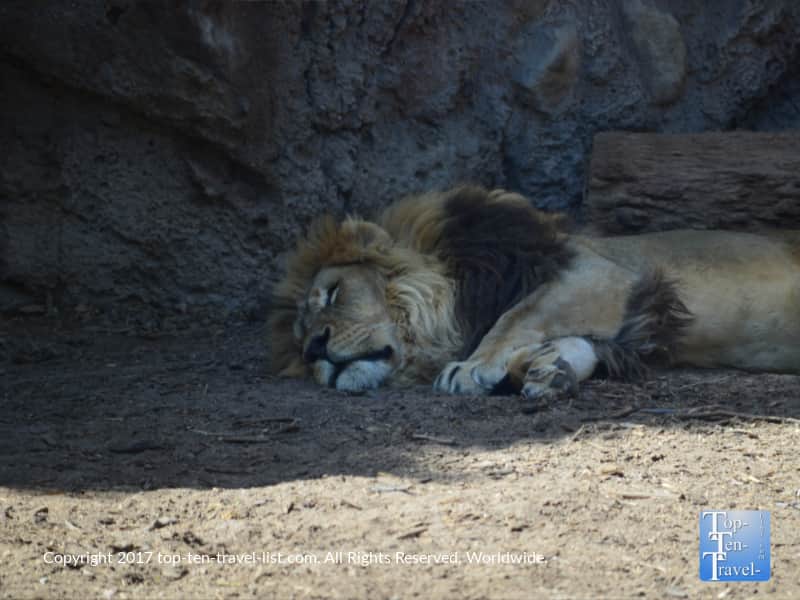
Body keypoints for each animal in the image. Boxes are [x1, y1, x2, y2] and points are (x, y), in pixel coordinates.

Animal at [268, 185, 800, 401]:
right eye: (299, 338)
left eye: (333, 294)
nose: (314, 348)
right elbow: (574, 343)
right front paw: (551, 371)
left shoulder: (597, 272)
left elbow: (518, 315)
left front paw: (470, 368)